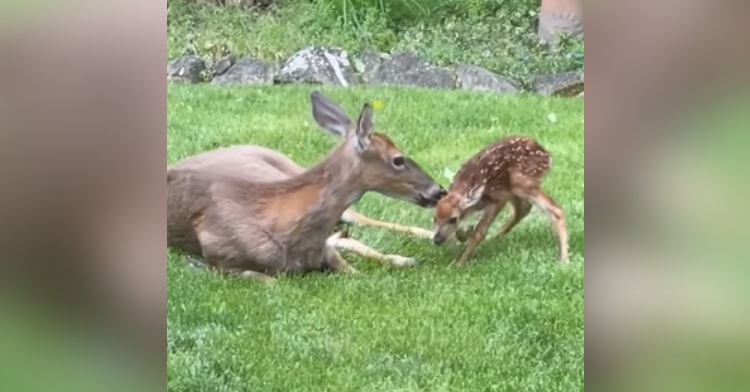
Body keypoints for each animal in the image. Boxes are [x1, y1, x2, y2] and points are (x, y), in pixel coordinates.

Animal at [434, 136, 568, 266]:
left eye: (453, 219)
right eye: (434, 218)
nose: (437, 239)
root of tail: (547, 156)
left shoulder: (498, 198)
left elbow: (479, 232)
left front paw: (459, 263)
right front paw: (464, 238)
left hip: (521, 181)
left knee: (554, 209)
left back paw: (564, 260)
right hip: (513, 187)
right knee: (524, 209)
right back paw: (494, 237)